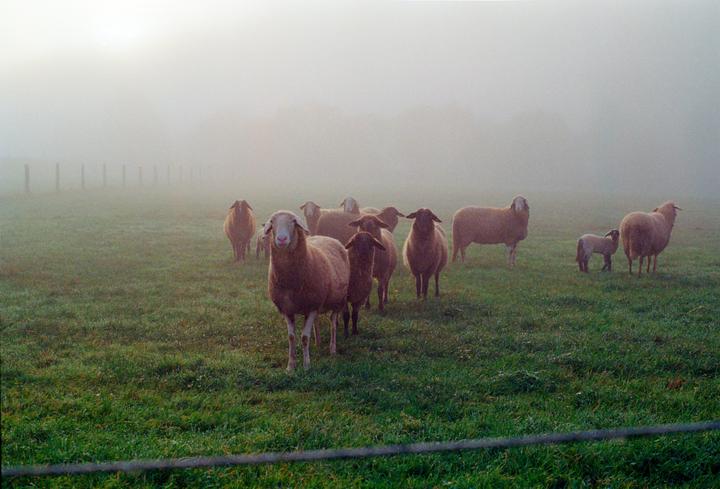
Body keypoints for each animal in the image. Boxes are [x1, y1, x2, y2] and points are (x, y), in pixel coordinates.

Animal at [264, 211, 350, 370]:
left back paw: (332, 349)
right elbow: (291, 338)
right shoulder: (287, 309)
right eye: (272, 221)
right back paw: (318, 342)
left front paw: (306, 366)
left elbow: (304, 337)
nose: (282, 239)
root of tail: (327, 237)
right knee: (318, 322)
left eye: (293, 221)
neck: (290, 282)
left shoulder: (311, 307)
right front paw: (290, 366)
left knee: (333, 323)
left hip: (338, 301)